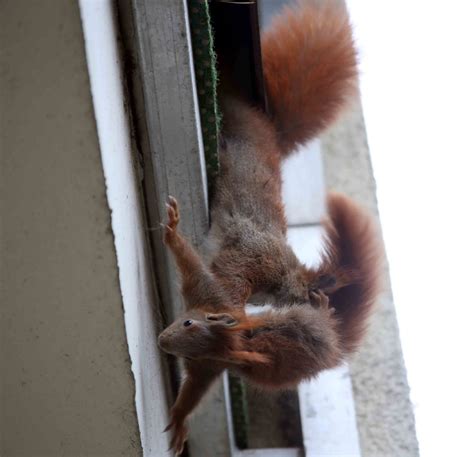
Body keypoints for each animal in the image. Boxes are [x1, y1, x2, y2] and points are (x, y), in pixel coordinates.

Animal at [158, 1, 382, 452]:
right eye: (318, 300)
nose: (325, 308)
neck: (284, 273)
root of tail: (266, 126)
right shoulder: (244, 265)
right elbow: (223, 289)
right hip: (235, 129)